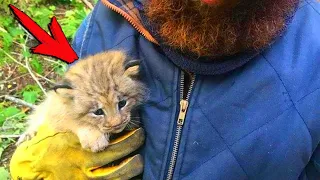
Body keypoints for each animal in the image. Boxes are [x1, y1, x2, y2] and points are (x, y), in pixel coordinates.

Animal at [16, 50, 146, 152]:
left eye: (122, 103)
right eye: (98, 112)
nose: (117, 124)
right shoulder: (56, 112)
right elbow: (73, 121)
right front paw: (95, 139)